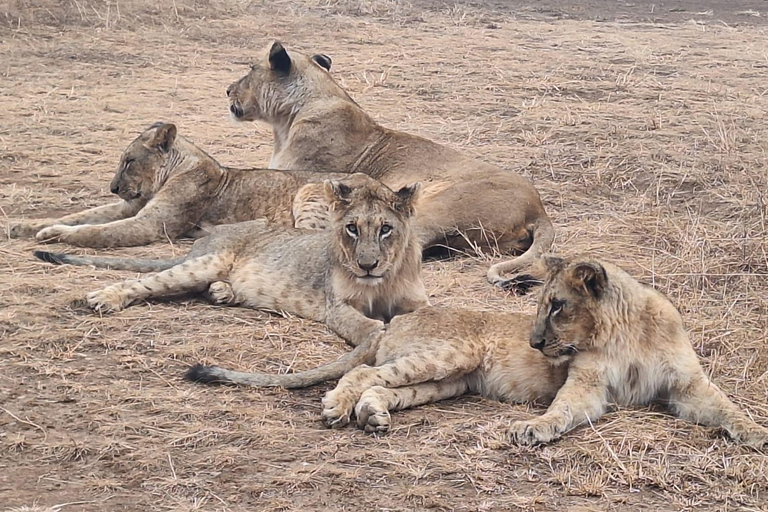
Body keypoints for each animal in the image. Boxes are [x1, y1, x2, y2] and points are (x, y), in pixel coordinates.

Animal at [6, 122, 368, 246]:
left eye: (129, 161)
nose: (112, 187)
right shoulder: (131, 206)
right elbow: (81, 216)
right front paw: (24, 226)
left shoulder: (151, 225)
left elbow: (93, 231)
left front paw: (53, 234)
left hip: (309, 190)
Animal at [36, 178, 428, 346]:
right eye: (351, 228)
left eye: (386, 229)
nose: (367, 265)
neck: (383, 280)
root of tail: (205, 239)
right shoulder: (337, 307)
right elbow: (360, 324)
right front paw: (377, 332)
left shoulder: (417, 302)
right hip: (204, 263)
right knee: (146, 282)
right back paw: (104, 298)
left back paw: (223, 293)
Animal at [186, 254, 768, 446]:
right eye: (540, 305)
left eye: (557, 306)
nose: (533, 342)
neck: (624, 333)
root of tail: (398, 319)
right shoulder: (585, 386)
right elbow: (561, 412)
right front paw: (531, 430)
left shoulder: (688, 386)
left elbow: (728, 408)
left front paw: (756, 435)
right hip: (449, 354)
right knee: (360, 375)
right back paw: (337, 406)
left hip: (446, 381)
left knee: (381, 386)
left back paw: (373, 417)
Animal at [225, 41, 556, 286]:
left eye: (251, 69)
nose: (228, 90)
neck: (289, 117)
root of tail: (538, 209)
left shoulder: (295, 175)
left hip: (432, 207)